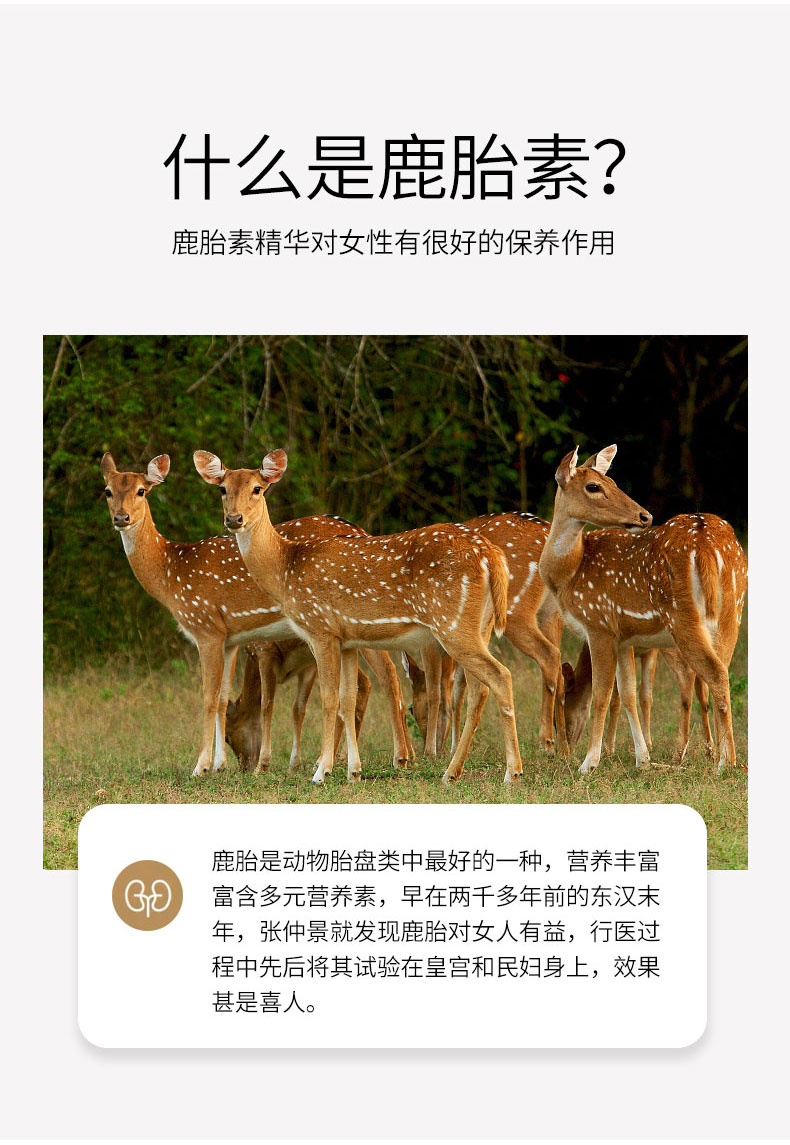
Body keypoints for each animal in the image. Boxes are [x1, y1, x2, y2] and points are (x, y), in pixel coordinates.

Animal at [100, 453, 412, 778]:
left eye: (141, 491)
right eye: (107, 491)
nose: (121, 518)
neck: (171, 573)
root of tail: (362, 531)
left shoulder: (206, 627)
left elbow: (208, 697)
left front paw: (201, 767)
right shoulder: (229, 639)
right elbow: (222, 698)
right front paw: (220, 765)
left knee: (387, 674)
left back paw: (396, 758)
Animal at [194, 448, 523, 785]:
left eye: (258, 488)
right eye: (223, 489)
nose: (234, 519)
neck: (286, 568)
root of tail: (492, 557)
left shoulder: (321, 629)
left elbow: (328, 699)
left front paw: (321, 771)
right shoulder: (348, 642)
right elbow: (348, 698)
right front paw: (353, 770)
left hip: (453, 624)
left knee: (501, 676)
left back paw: (510, 772)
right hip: (478, 627)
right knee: (479, 689)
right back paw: (453, 772)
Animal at [539, 445, 747, 774]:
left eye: (610, 482)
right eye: (595, 486)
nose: (644, 515)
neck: (569, 573)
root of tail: (707, 544)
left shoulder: (598, 624)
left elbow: (601, 695)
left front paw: (589, 763)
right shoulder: (623, 638)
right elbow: (627, 694)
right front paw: (643, 758)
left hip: (682, 616)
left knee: (713, 674)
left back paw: (724, 764)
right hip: (731, 614)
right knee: (721, 673)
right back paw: (718, 757)